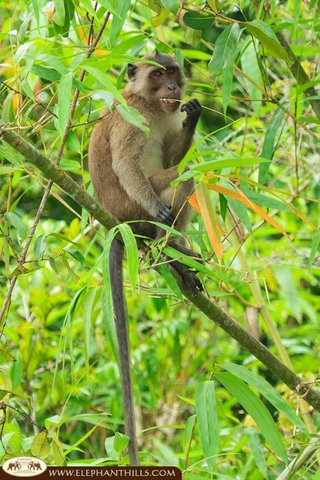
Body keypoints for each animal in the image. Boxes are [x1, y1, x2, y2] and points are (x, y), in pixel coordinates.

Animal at [87, 52, 202, 464]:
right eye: (157, 74)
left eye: (173, 73)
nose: (172, 87)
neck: (150, 104)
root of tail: (120, 225)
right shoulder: (131, 116)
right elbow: (126, 164)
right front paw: (159, 210)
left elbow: (170, 152)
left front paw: (194, 114)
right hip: (135, 210)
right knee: (183, 176)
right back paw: (173, 252)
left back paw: (178, 259)